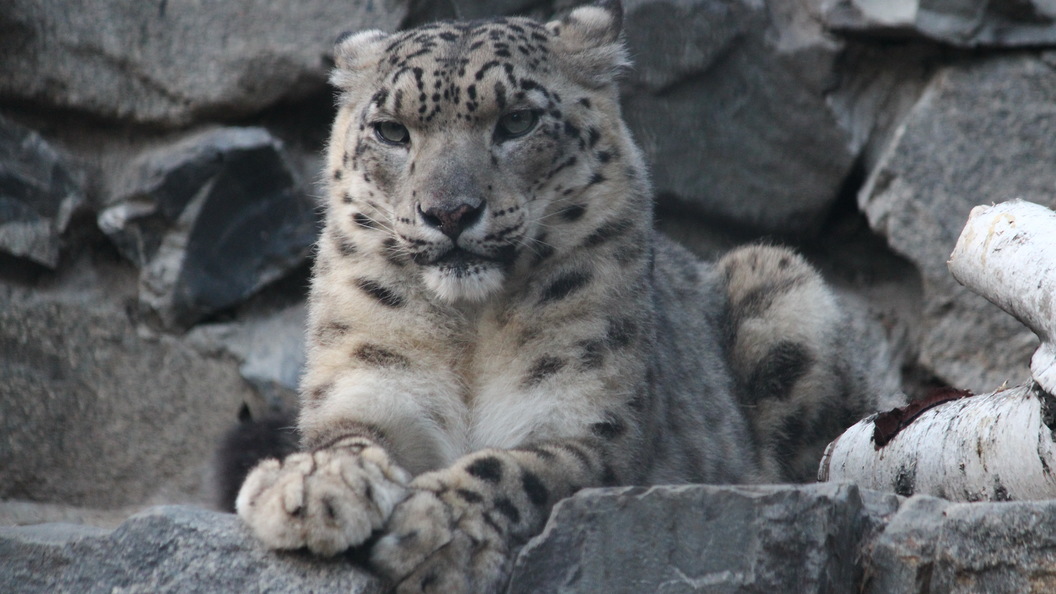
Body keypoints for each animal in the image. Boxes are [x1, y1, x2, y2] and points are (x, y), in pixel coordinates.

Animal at [235, 2, 895, 587]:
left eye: (517, 121)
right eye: (391, 131)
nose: (450, 212)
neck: (469, 329)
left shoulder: (594, 428)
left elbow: (514, 468)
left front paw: (436, 531)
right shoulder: (370, 386)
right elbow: (347, 439)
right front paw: (307, 487)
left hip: (782, 285)